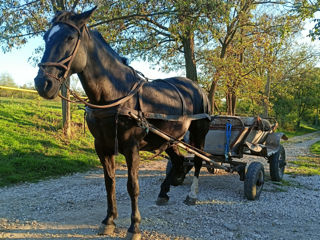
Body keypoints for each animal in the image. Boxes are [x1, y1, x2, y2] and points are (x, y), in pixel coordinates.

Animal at [34, 7, 210, 240]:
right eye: (46, 37)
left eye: (70, 37)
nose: (42, 83)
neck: (115, 95)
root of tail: (197, 87)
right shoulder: (102, 146)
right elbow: (109, 183)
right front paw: (109, 220)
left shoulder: (131, 147)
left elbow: (132, 186)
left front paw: (134, 226)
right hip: (169, 139)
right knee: (179, 160)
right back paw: (165, 191)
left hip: (199, 133)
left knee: (198, 160)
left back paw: (192, 195)